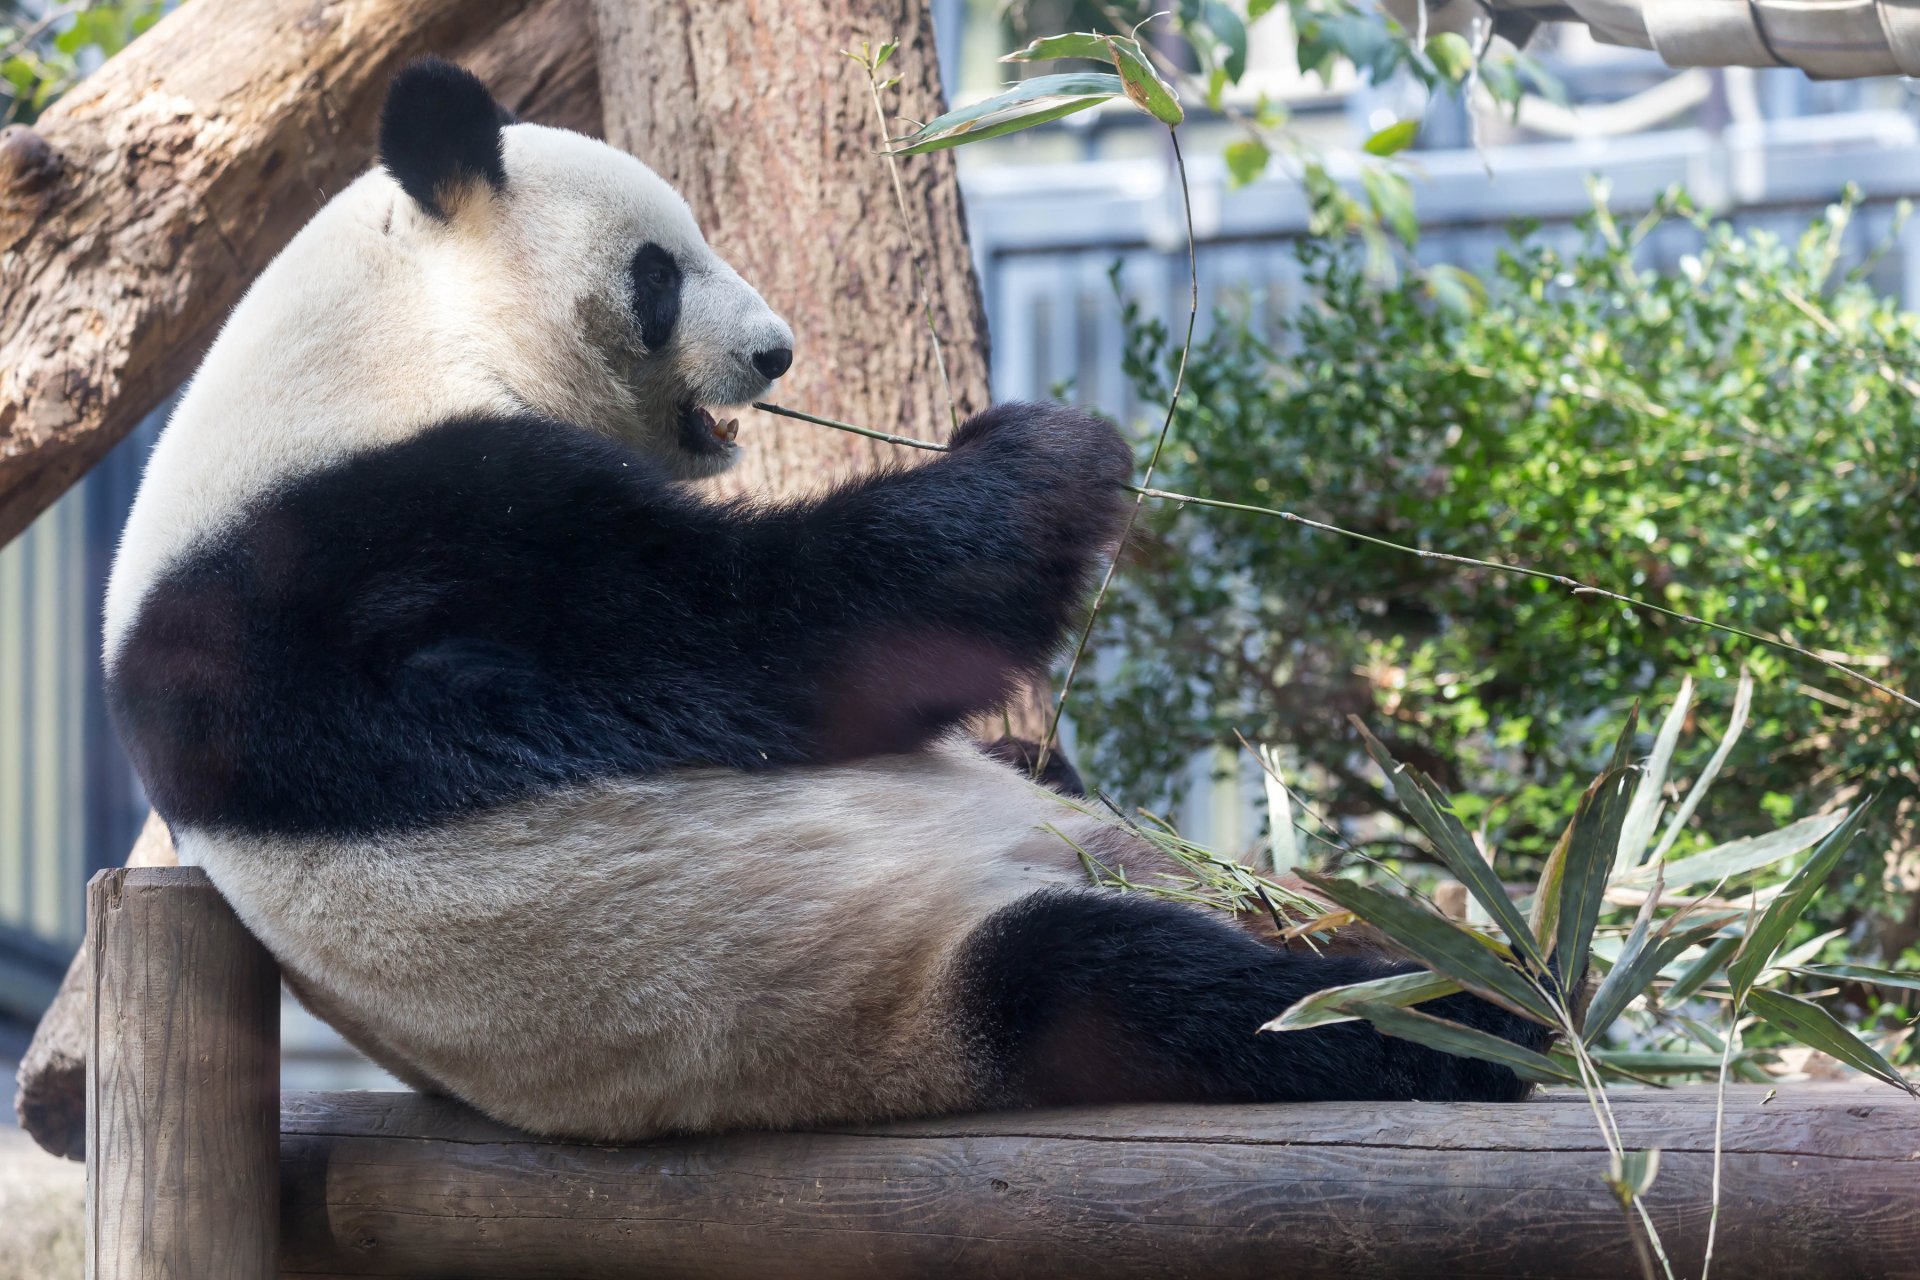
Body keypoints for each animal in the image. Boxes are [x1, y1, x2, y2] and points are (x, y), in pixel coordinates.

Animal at [102, 59, 1553, 1141]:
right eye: (660, 270)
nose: (776, 354)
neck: (383, 333)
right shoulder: (373, 543)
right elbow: (772, 633)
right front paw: (1050, 451)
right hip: (897, 986)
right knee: (1141, 987)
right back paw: (1479, 1018)